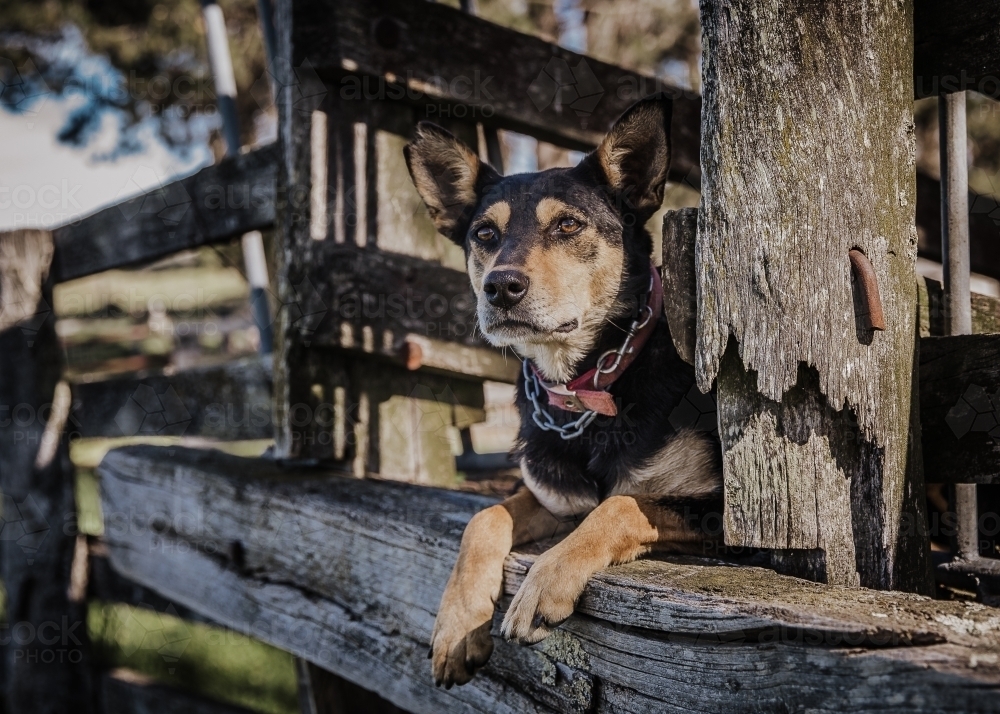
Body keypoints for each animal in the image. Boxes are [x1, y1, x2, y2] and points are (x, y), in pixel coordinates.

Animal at [402, 94, 724, 684]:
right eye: (484, 235)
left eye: (569, 225)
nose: (500, 286)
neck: (586, 389)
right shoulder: (554, 496)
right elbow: (483, 518)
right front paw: (457, 623)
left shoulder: (722, 513)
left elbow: (619, 505)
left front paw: (543, 585)